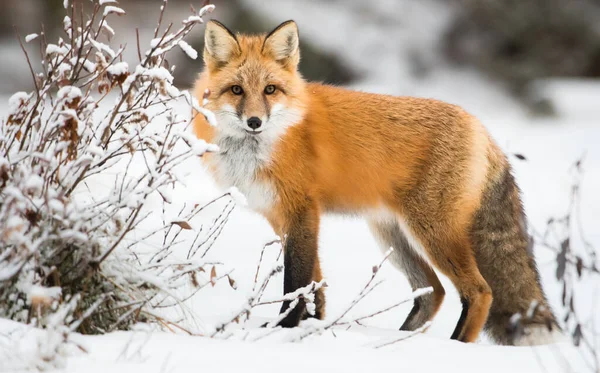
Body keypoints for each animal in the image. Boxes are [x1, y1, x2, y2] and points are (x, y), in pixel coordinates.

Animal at [193, 18, 564, 344]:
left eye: (270, 90)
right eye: (237, 90)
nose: (254, 121)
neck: (266, 146)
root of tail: (482, 128)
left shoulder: (302, 212)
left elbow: (296, 282)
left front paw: (283, 330)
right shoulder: (281, 217)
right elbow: (315, 284)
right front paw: (311, 327)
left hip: (433, 232)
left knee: (480, 291)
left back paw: (454, 346)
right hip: (393, 235)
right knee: (433, 292)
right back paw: (399, 340)